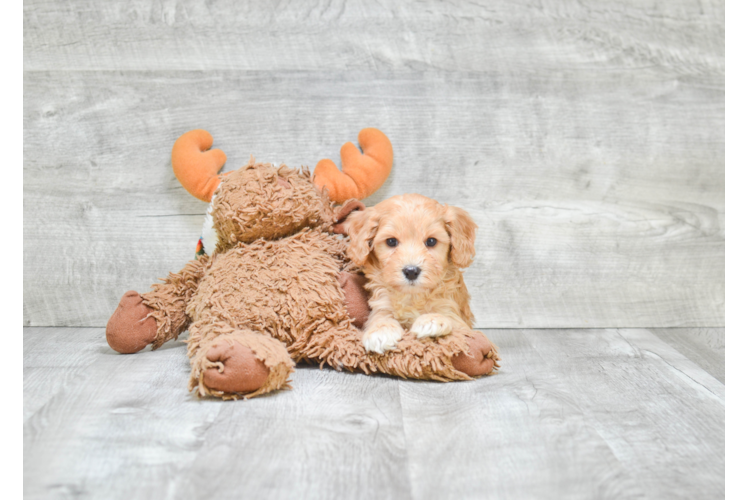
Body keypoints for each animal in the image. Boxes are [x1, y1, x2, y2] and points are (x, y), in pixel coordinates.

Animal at [346, 193, 476, 354]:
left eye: (431, 241)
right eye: (391, 241)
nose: (411, 271)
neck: (413, 296)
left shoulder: (460, 321)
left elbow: (451, 319)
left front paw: (432, 320)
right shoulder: (382, 303)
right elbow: (380, 316)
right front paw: (380, 331)